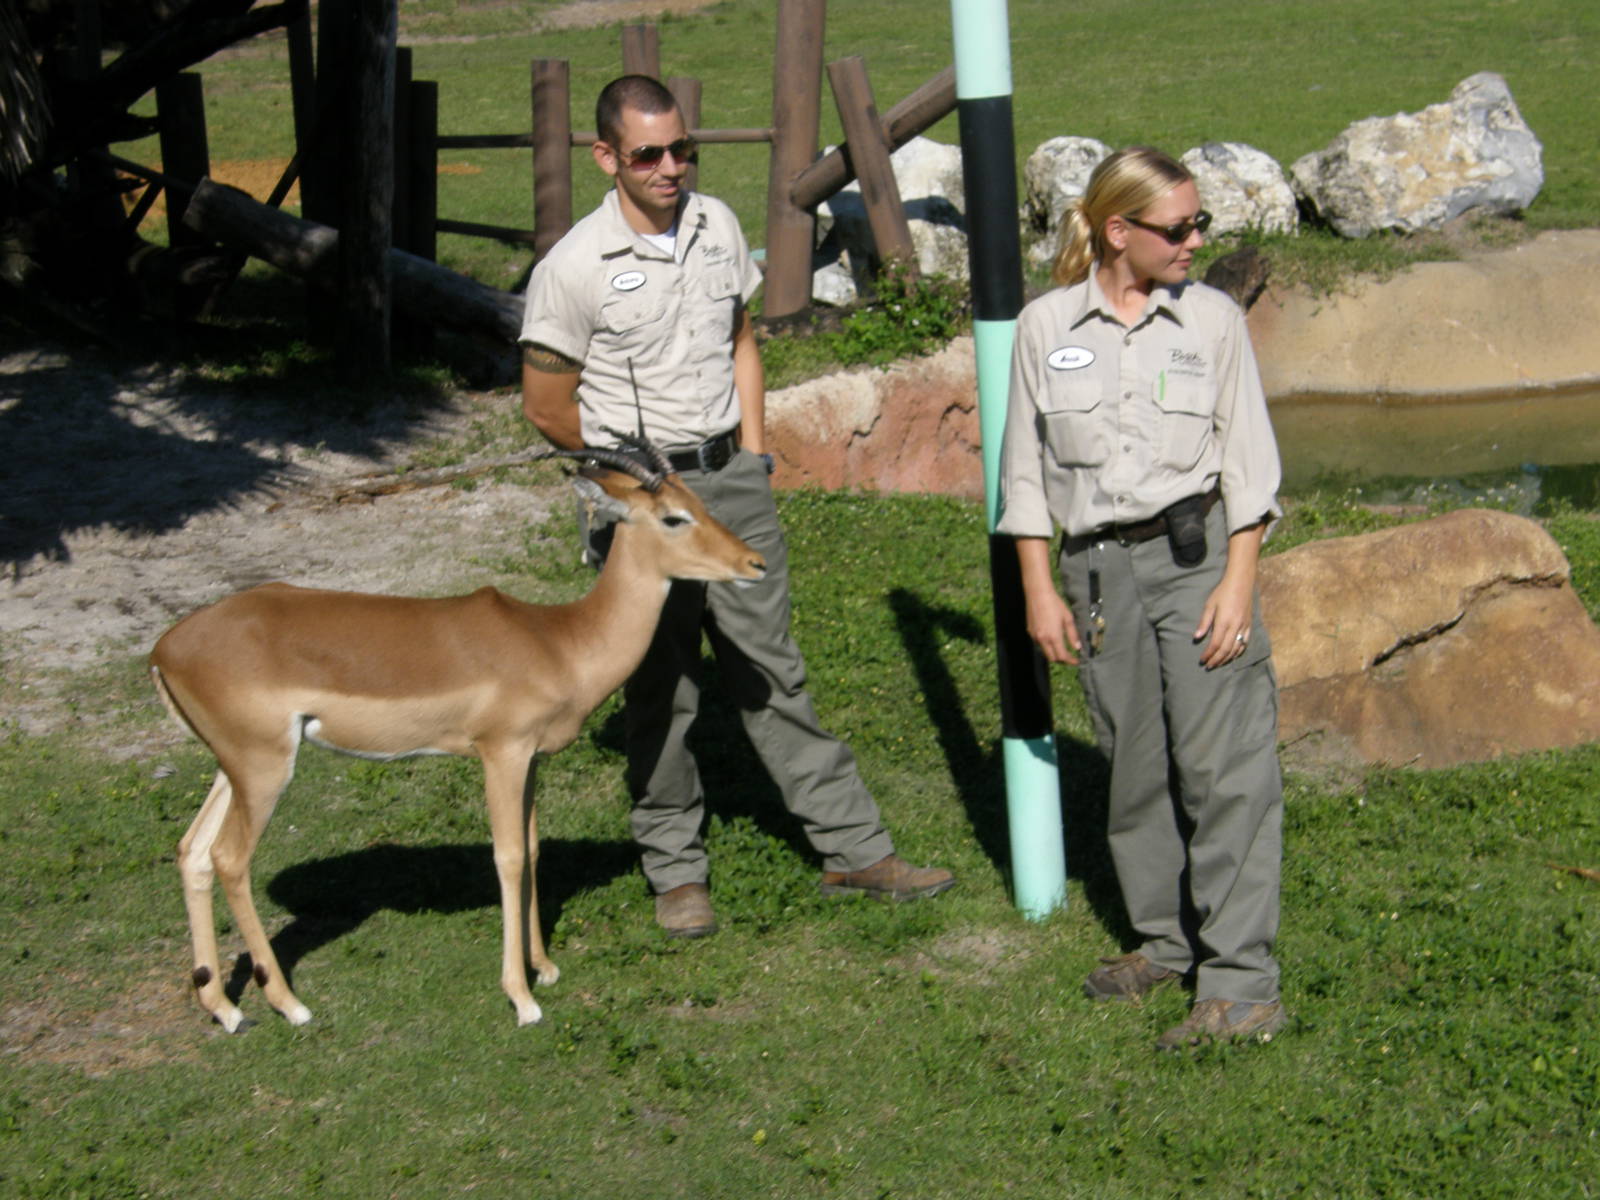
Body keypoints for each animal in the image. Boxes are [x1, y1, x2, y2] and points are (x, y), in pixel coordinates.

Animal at [149, 436, 766, 1031]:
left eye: (700, 502)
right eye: (672, 517)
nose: (754, 563)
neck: (559, 642)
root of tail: (164, 649)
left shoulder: (531, 759)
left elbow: (533, 847)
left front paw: (544, 967)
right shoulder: (501, 752)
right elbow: (508, 856)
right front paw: (521, 999)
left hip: (235, 767)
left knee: (192, 851)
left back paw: (226, 1010)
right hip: (264, 768)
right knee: (230, 858)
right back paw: (289, 1005)